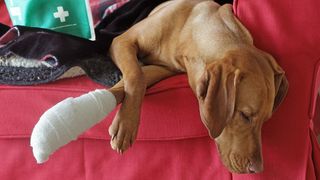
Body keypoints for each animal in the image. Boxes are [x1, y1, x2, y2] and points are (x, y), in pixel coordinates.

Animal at [105, 0, 288, 174]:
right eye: (245, 115)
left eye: (266, 119)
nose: (258, 169)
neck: (188, 33)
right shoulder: (122, 41)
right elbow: (136, 75)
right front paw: (125, 125)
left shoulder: (163, 69)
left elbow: (139, 77)